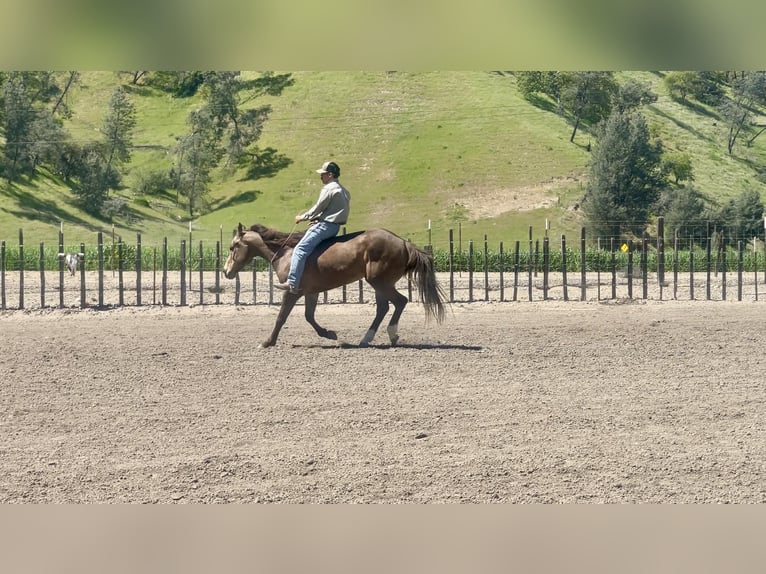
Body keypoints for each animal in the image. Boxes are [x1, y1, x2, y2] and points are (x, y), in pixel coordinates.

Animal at [222, 223, 448, 348]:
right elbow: (309, 316)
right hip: (380, 284)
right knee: (384, 308)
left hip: (380, 282)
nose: (226, 272)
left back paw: (391, 334)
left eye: (233, 247)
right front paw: (330, 334)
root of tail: (403, 243)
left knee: (400, 301)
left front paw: (267, 342)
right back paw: (366, 339)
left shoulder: (292, 292)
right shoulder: (310, 292)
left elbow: (281, 317)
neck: (287, 253)